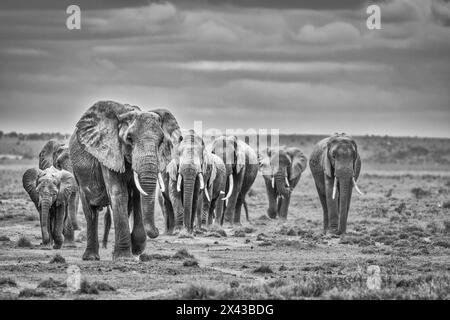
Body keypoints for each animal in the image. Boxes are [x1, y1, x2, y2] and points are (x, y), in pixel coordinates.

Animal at [68, 101, 178, 262]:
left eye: (161, 141)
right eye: (129, 138)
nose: (158, 230)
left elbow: (137, 196)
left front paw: (136, 250)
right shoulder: (109, 152)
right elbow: (119, 193)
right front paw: (124, 258)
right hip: (78, 174)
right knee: (90, 210)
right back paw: (91, 257)